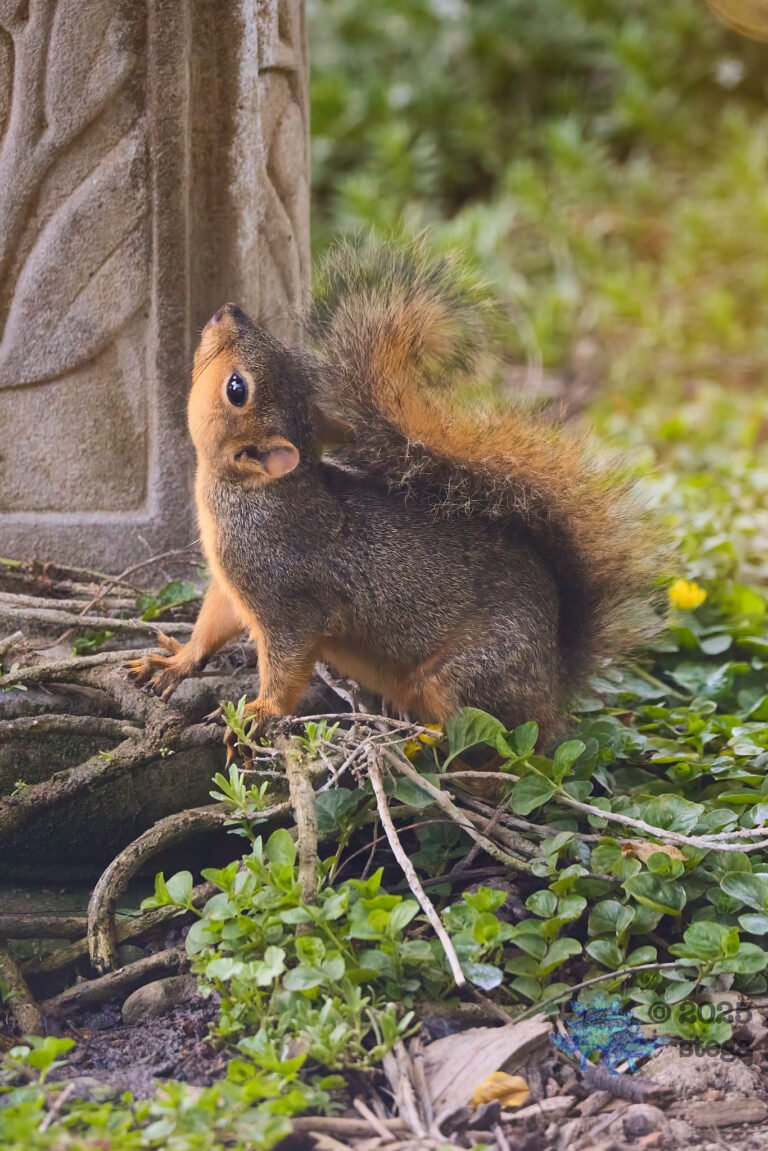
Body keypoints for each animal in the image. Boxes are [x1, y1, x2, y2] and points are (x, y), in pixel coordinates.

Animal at [128, 238, 660, 757]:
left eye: (236, 388)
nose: (229, 309)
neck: (249, 495)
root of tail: (555, 676)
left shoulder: (284, 594)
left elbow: (287, 660)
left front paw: (260, 713)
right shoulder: (231, 583)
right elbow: (212, 624)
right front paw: (176, 661)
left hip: (471, 676)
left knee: (504, 742)